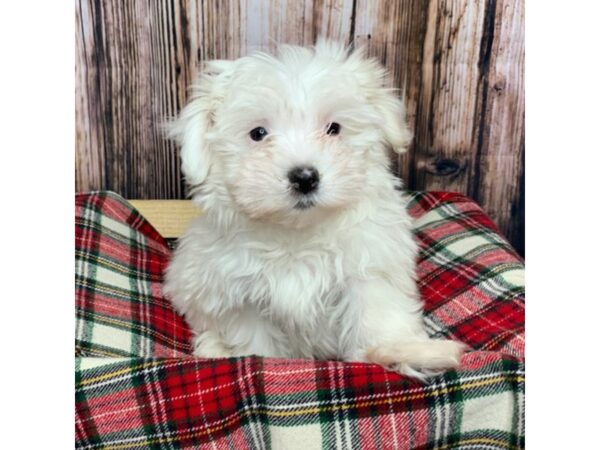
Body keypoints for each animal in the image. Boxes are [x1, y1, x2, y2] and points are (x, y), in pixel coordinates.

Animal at [163, 37, 464, 380]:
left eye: (334, 128)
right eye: (258, 134)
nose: (305, 177)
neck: (298, 233)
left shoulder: (369, 268)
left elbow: (378, 316)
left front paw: (401, 353)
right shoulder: (240, 297)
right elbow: (255, 342)